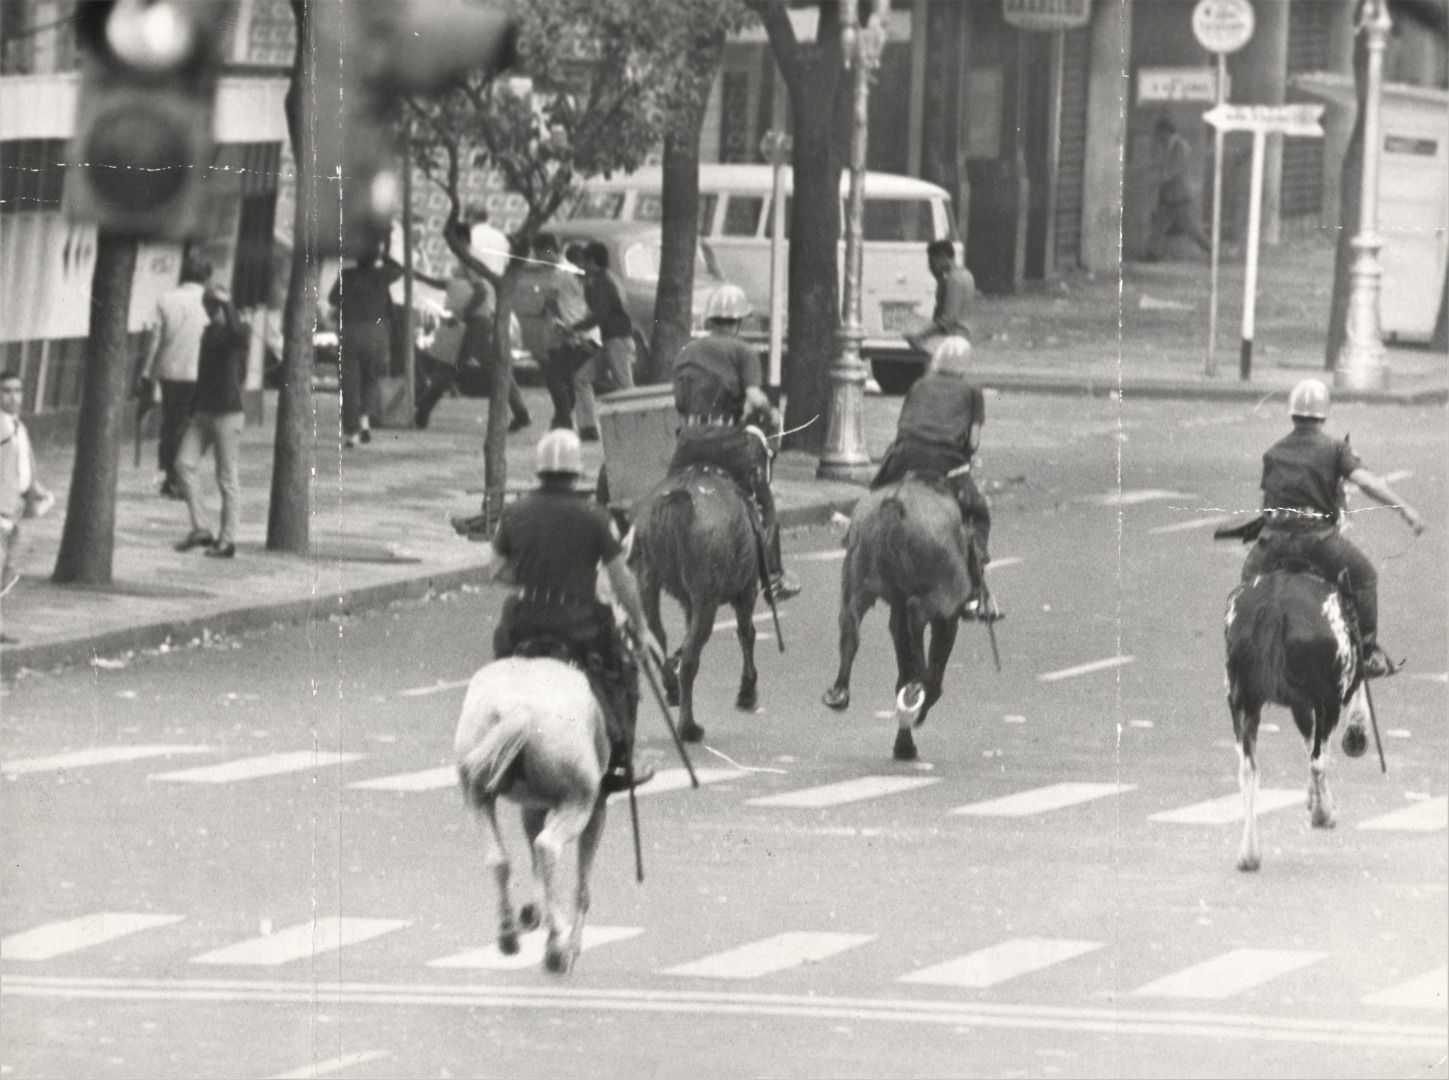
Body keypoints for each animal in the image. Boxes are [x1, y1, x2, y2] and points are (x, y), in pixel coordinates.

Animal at [454, 652, 608, 974]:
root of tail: (518, 710)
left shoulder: (533, 805)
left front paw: (533, 913)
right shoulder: (597, 808)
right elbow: (582, 885)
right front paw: (570, 945)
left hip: (477, 795)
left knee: (499, 858)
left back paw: (508, 934)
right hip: (579, 801)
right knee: (547, 847)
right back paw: (557, 944)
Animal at [631, 463, 765, 742]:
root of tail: (681, 497)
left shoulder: (688, 602)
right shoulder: (747, 591)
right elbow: (746, 633)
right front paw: (747, 691)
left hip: (647, 582)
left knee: (657, 637)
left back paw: (672, 689)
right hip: (708, 599)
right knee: (691, 657)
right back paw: (688, 727)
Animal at [828, 481, 973, 759]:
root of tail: (893, 505)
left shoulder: (896, 611)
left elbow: (903, 669)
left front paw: (903, 743)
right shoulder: (947, 617)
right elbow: (932, 667)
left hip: (857, 583)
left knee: (850, 627)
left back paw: (840, 692)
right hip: (939, 599)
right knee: (916, 615)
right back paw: (920, 691)